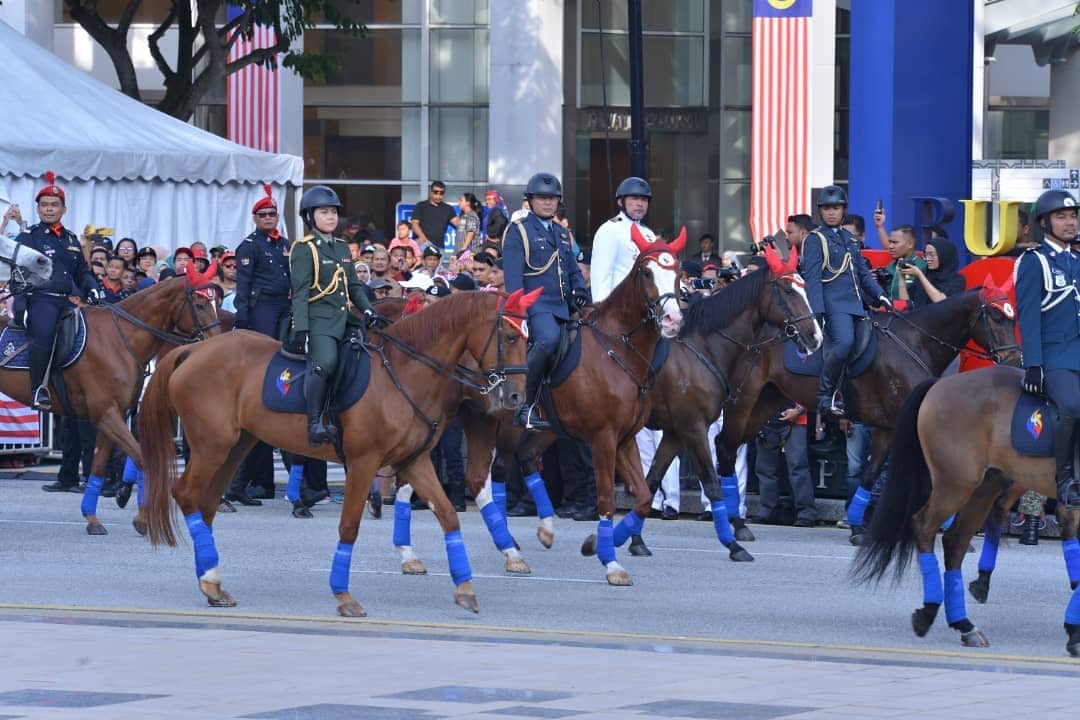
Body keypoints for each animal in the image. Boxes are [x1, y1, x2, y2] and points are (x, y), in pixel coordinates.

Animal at [0, 269, 221, 535]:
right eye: (200, 304)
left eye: (217, 303)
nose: (218, 341)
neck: (120, 338)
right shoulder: (106, 414)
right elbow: (142, 458)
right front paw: (140, 515)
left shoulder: (111, 415)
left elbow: (98, 465)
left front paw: (94, 517)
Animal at [139, 289, 535, 617]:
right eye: (510, 336)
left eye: (527, 338)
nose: (517, 397)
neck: (404, 372)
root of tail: (194, 350)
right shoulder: (363, 461)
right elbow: (349, 525)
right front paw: (344, 596)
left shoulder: (414, 460)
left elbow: (449, 516)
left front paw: (465, 588)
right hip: (212, 445)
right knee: (185, 494)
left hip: (236, 445)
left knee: (204, 504)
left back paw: (211, 582)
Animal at [639, 248, 816, 561]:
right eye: (788, 289)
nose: (815, 335)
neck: (701, 348)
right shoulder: (691, 428)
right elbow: (709, 482)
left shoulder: (679, 430)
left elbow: (654, 478)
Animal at [708, 280, 1019, 539]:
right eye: (997, 317)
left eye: (1012, 317)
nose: (1015, 360)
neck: (915, 343)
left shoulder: (887, 428)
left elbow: (869, 474)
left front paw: (858, 526)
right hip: (743, 401)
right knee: (724, 447)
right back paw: (734, 520)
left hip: (766, 401)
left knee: (727, 448)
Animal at [851, 369, 1080, 656]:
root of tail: (941, 383)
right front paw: (1074, 632)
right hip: (956, 484)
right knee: (925, 527)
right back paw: (933, 612)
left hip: (987, 485)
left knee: (956, 540)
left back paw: (963, 623)